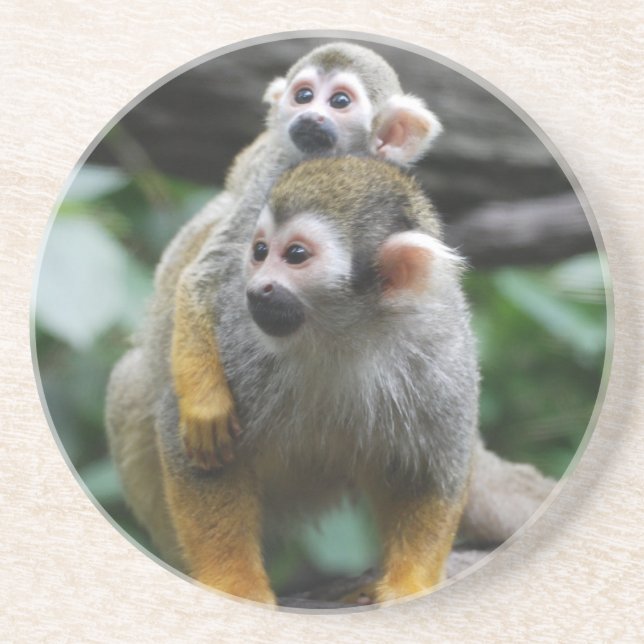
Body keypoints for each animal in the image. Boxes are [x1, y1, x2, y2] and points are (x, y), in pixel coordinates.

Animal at [111, 155, 478, 604]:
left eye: (296, 255)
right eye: (260, 251)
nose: (256, 288)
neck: (343, 333)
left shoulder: (442, 353)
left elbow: (433, 468)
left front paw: (410, 585)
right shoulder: (237, 335)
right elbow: (190, 442)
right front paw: (234, 584)